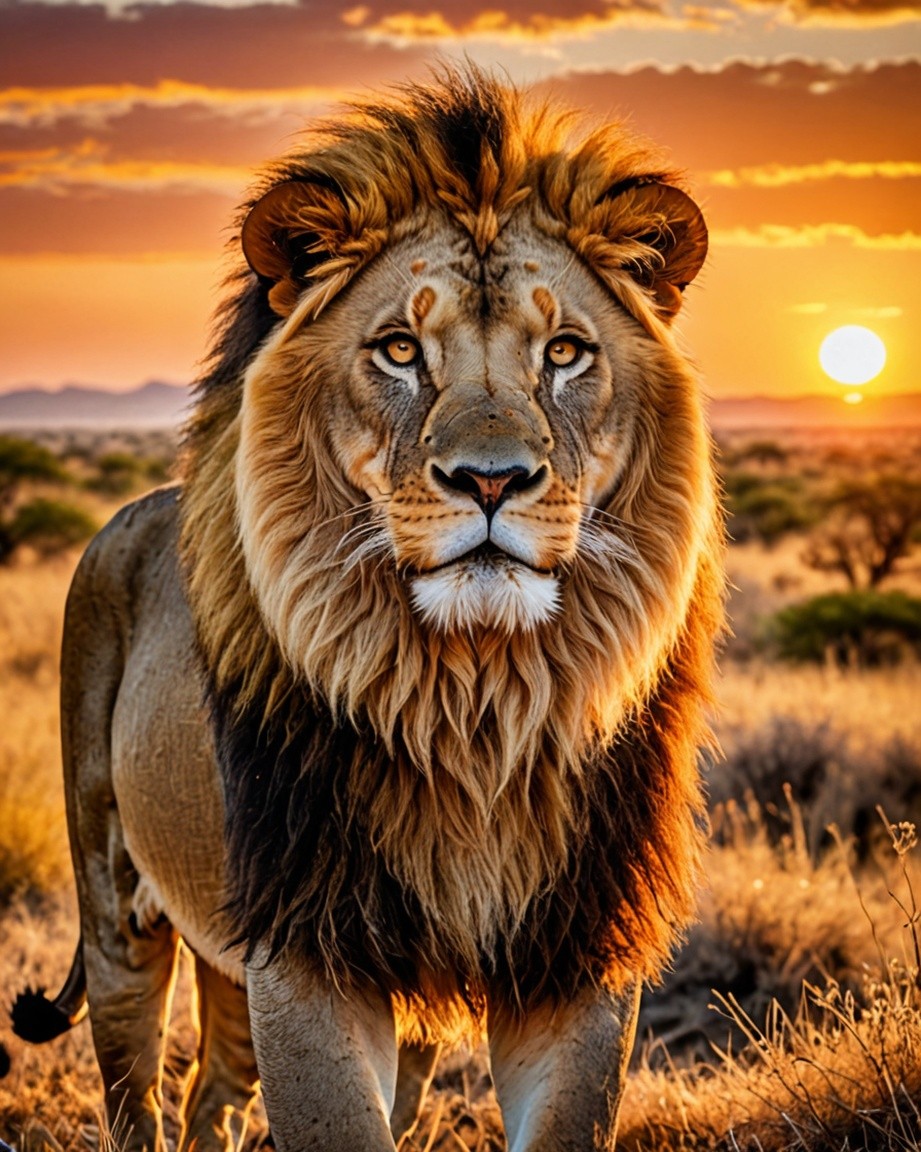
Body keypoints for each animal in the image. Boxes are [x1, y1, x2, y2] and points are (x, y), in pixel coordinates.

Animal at [13, 67, 723, 1150]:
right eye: (397, 350)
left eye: (565, 352)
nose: (490, 480)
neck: (475, 702)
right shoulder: (307, 949)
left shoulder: (578, 951)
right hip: (117, 909)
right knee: (137, 1087)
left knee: (214, 1094)